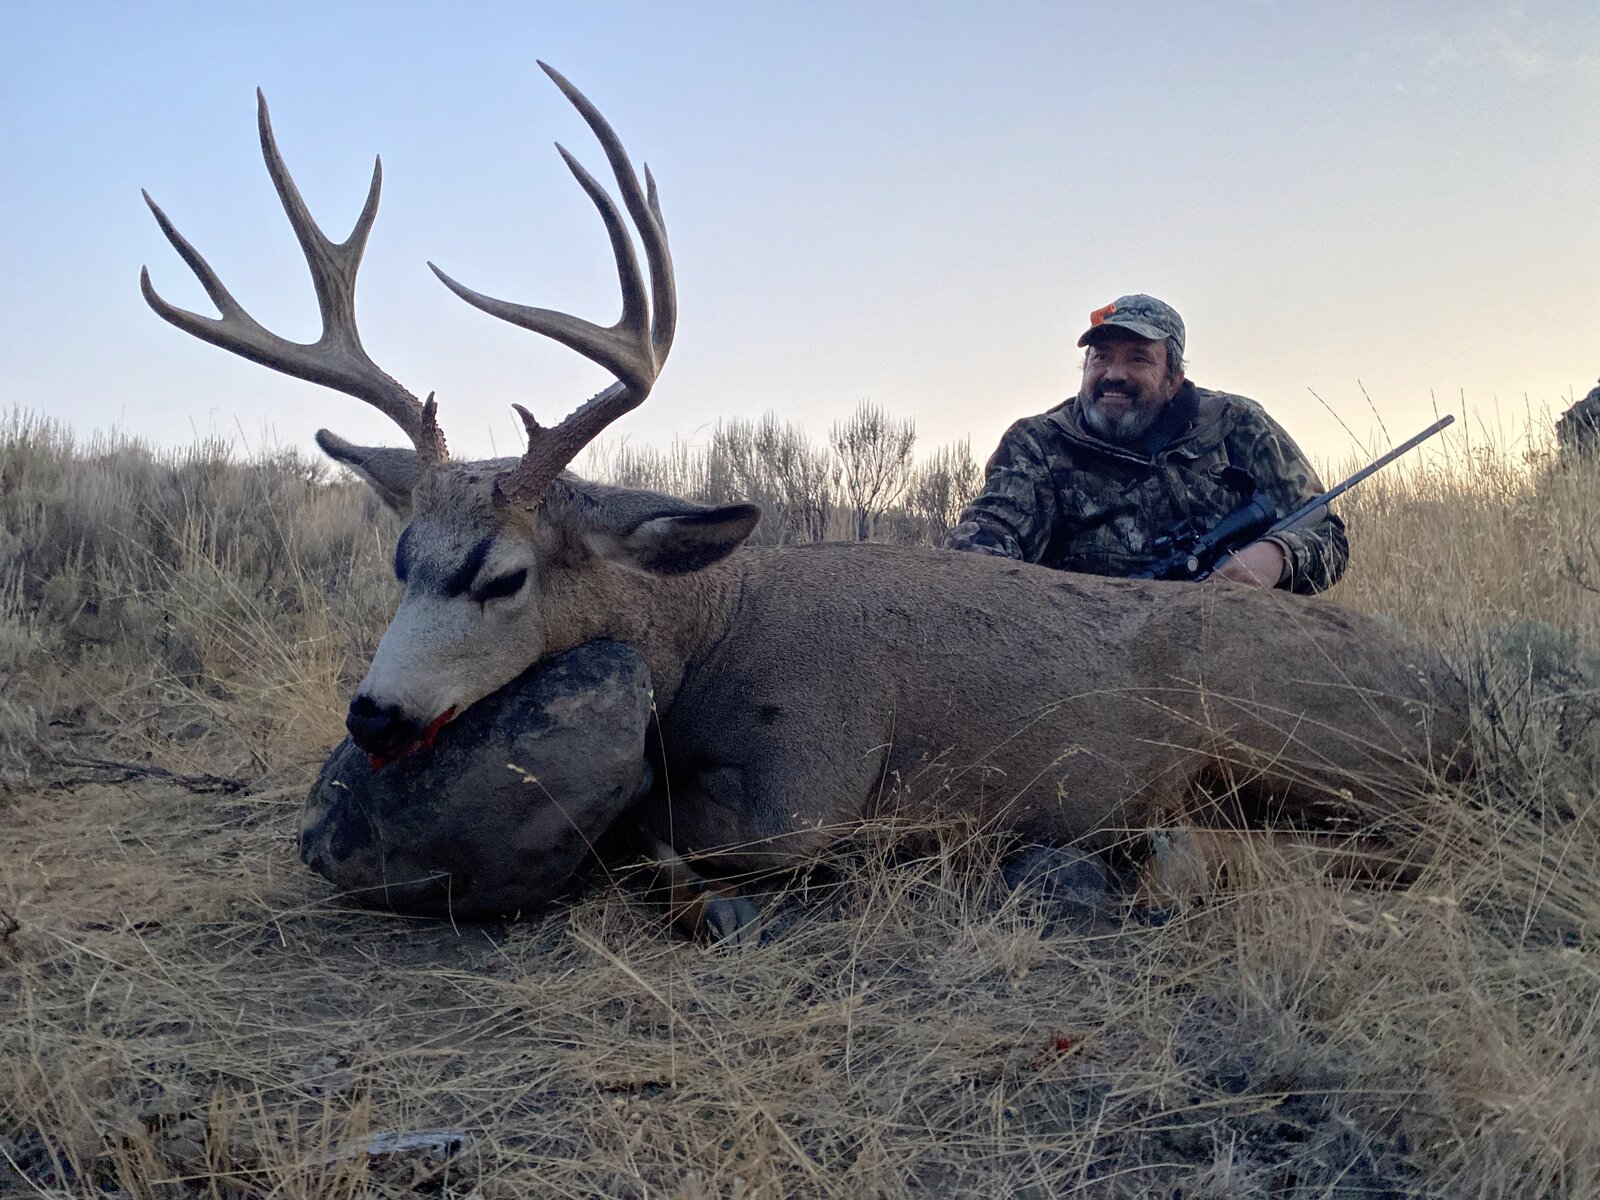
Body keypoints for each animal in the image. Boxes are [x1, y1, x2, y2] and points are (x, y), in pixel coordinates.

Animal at [143, 65, 1472, 941]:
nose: (373, 716)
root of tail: (1453, 690)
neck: (710, 632)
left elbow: (677, 846)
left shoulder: (808, 782)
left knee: (1395, 843)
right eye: (402, 556)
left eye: (504, 574)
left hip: (1289, 732)